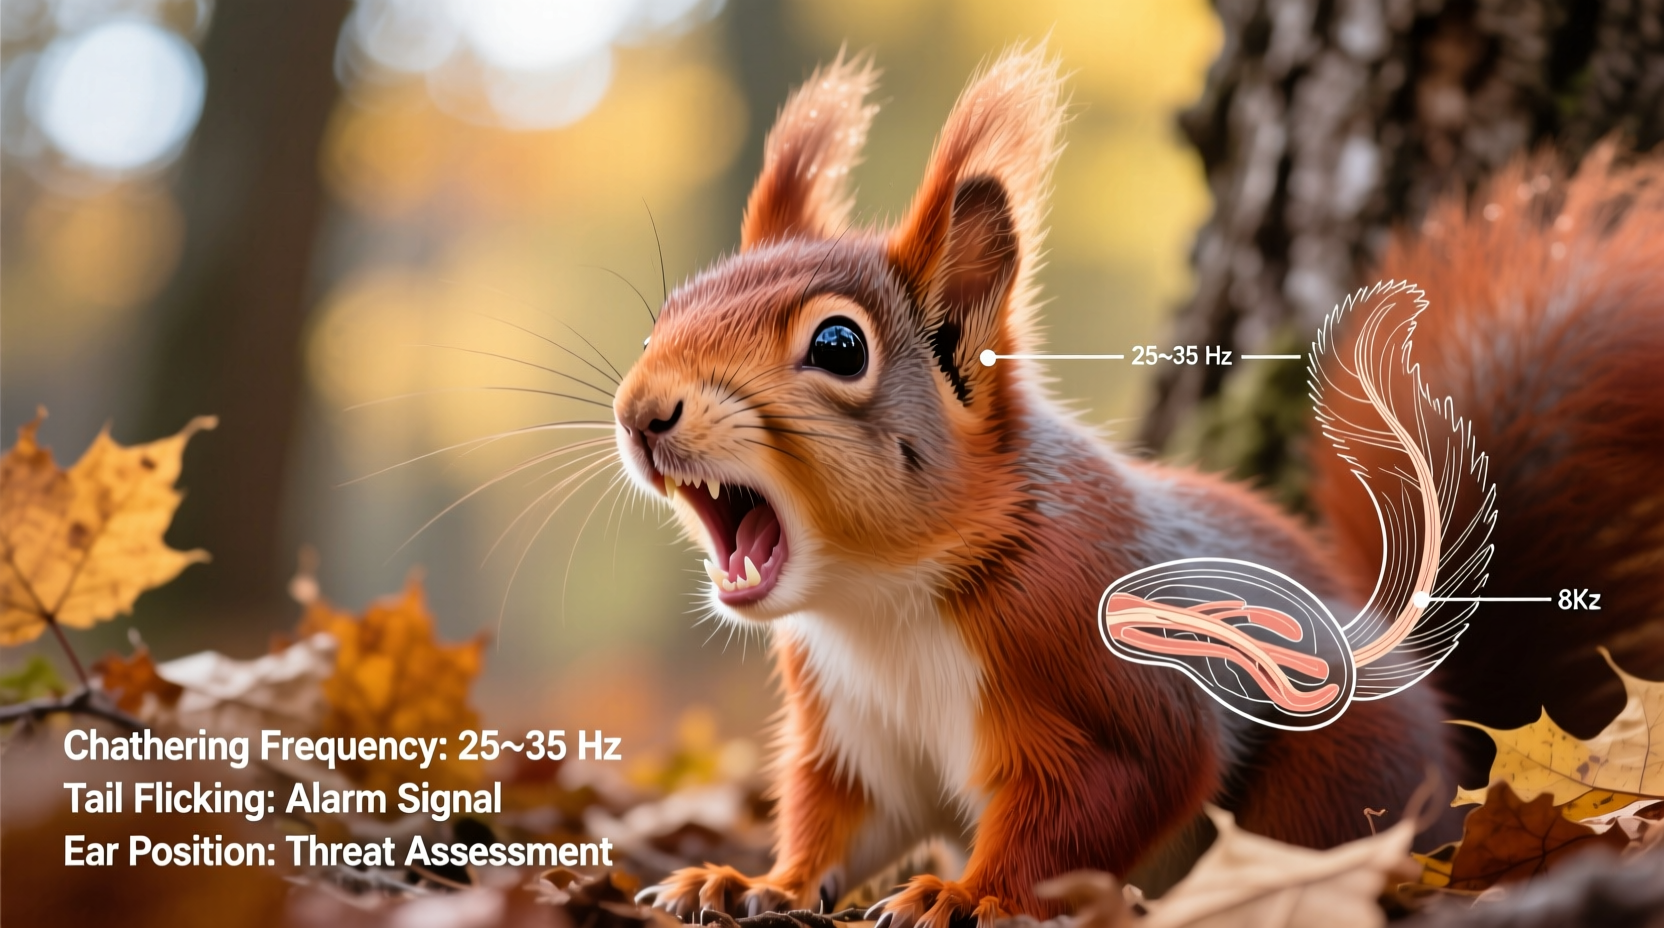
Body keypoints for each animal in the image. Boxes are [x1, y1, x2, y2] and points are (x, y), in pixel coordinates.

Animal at [611, 46, 1664, 926]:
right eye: (665, 313)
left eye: (838, 346)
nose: (640, 410)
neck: (882, 598)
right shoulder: (850, 728)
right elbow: (837, 817)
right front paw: (754, 882)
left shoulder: (1094, 661)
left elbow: (1100, 796)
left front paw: (964, 897)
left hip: (1336, 764)